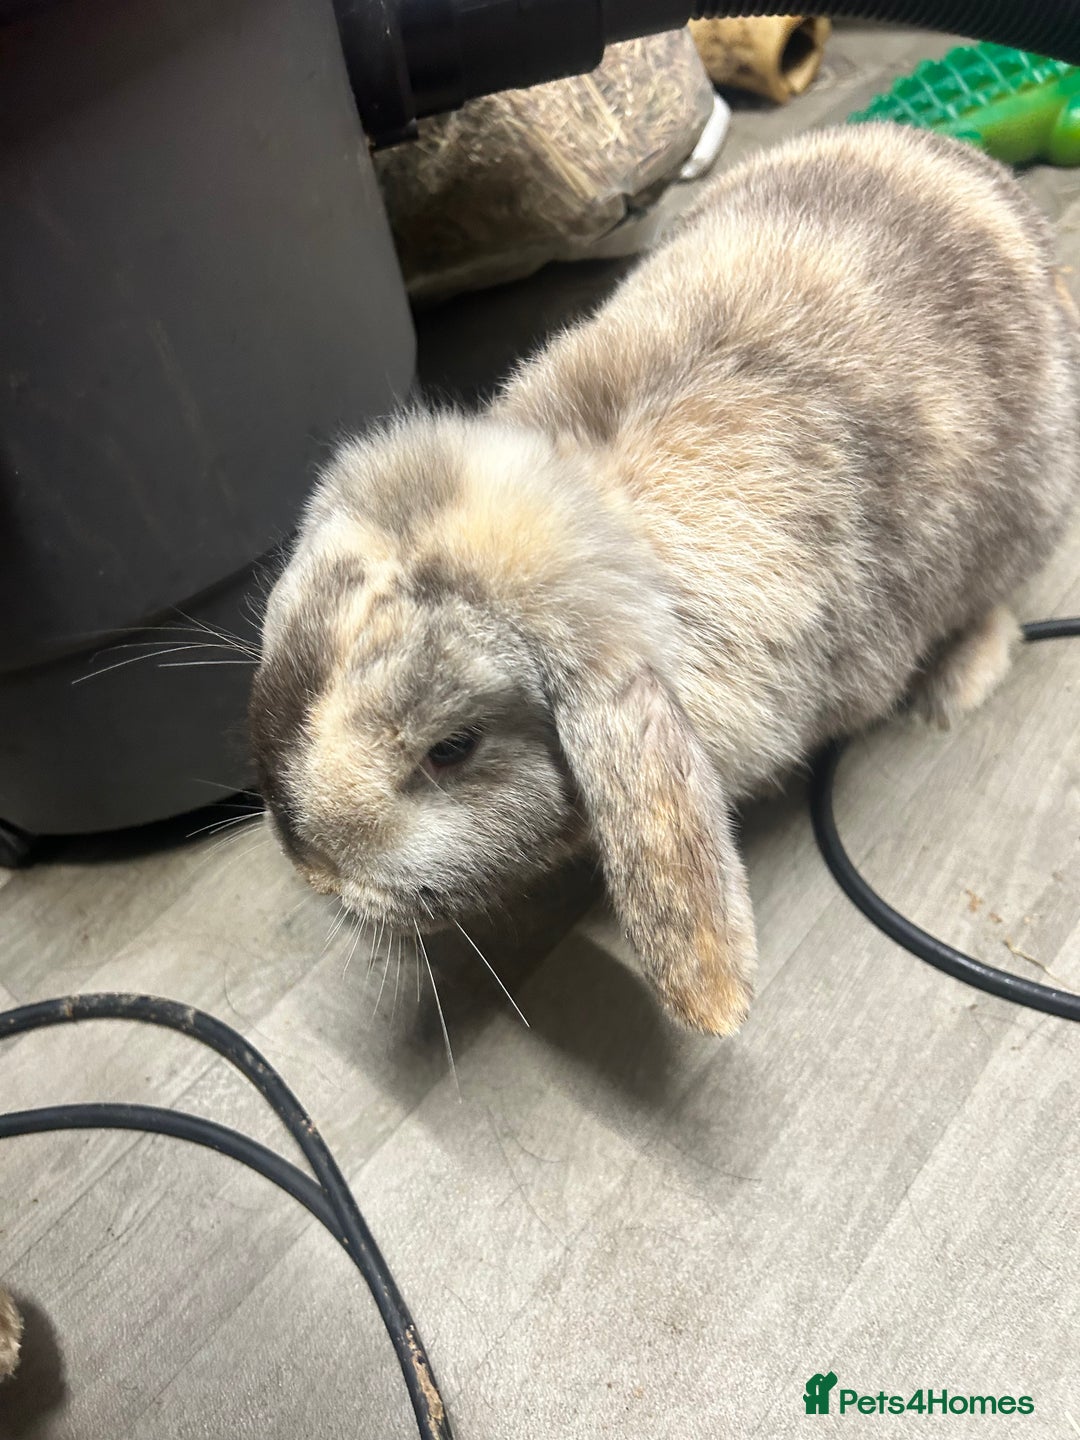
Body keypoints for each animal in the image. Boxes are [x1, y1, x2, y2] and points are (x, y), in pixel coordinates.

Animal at [250, 123, 1080, 1037]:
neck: (607, 517)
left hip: (1030, 512)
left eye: (452, 749)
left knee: (993, 601)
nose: (313, 868)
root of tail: (983, 177)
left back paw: (955, 684)